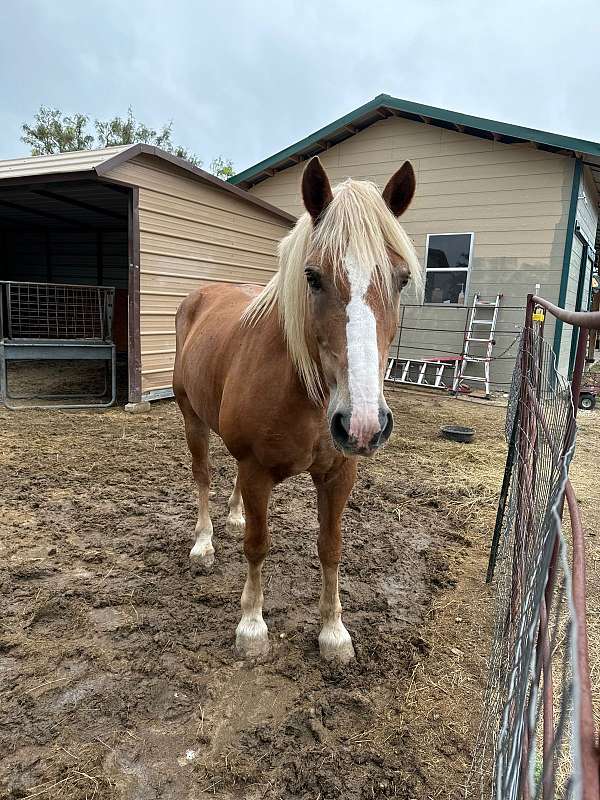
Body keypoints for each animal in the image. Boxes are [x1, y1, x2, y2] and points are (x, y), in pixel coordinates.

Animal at [171, 156, 420, 664]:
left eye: (401, 278)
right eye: (312, 276)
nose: (363, 424)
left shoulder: (340, 473)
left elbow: (331, 547)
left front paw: (334, 632)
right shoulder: (256, 469)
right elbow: (257, 545)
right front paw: (251, 626)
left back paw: (233, 514)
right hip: (193, 419)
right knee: (203, 476)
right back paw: (204, 543)